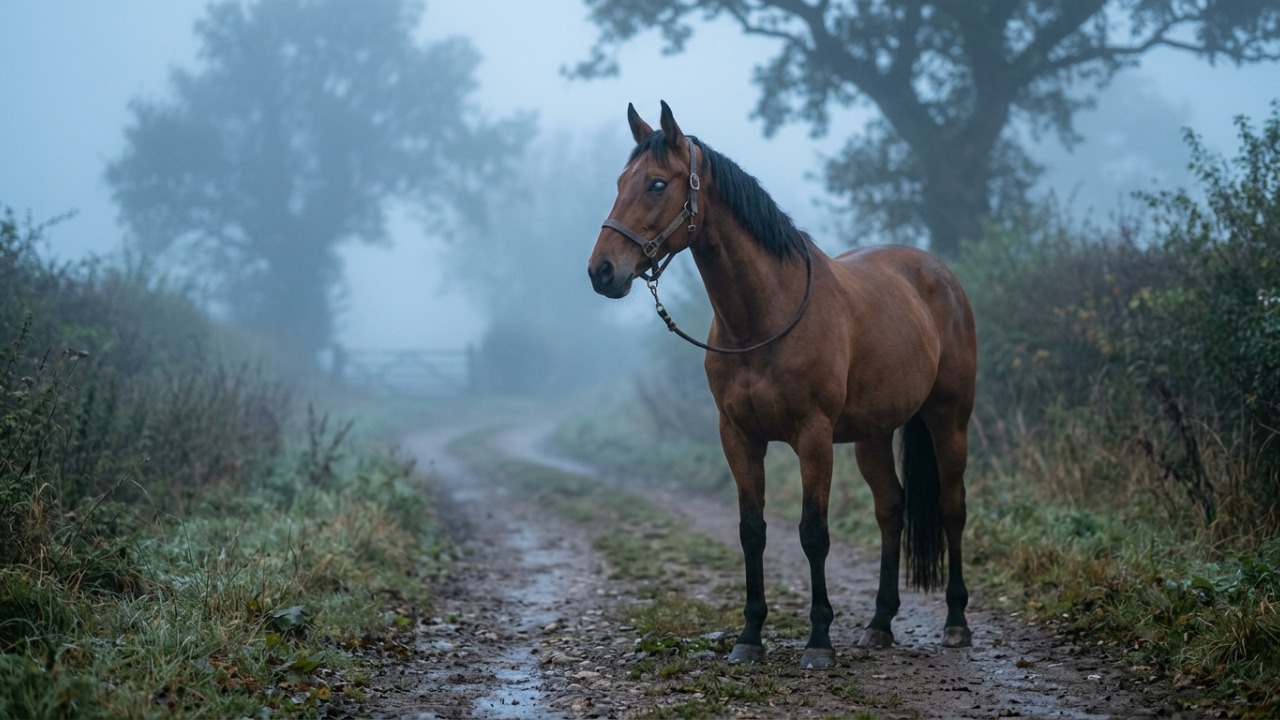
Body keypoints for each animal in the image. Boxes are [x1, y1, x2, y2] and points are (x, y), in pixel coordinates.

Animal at [587, 101, 978, 669]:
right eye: (621, 182)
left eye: (657, 184)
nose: (602, 271)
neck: (764, 317)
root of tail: (940, 275)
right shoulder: (738, 437)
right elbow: (752, 532)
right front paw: (750, 636)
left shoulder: (813, 437)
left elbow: (813, 534)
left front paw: (818, 640)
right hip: (873, 434)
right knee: (891, 509)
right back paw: (880, 624)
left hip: (949, 420)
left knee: (952, 507)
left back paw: (955, 623)